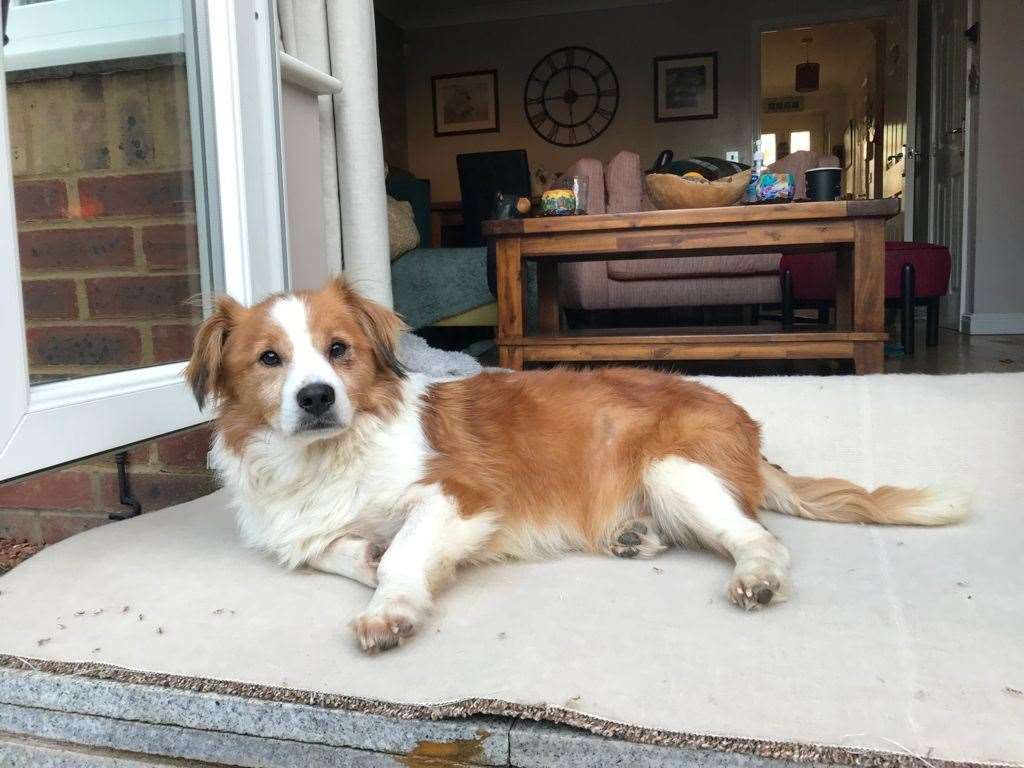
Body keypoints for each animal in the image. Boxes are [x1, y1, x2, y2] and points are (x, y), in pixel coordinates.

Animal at [186, 280, 966, 655]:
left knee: (760, 539)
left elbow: (403, 553)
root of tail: (747, 424)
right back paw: (631, 537)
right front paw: (372, 560)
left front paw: (392, 606)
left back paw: (756, 576)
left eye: (339, 350)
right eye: (270, 359)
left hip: (674, 468)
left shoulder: (457, 495)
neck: (325, 460)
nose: (316, 398)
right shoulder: (302, 538)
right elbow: (345, 551)